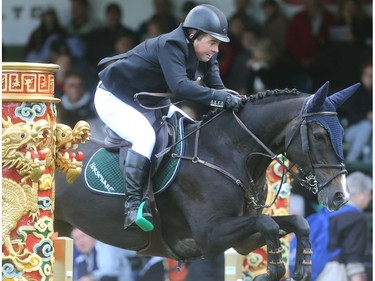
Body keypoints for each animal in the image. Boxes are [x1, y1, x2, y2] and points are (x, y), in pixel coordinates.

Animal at [55, 82, 358, 280]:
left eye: (343, 133)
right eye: (319, 136)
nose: (340, 196)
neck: (229, 154)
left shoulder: (243, 241)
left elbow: (297, 222)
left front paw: (303, 266)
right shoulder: (210, 236)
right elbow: (268, 223)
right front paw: (272, 269)